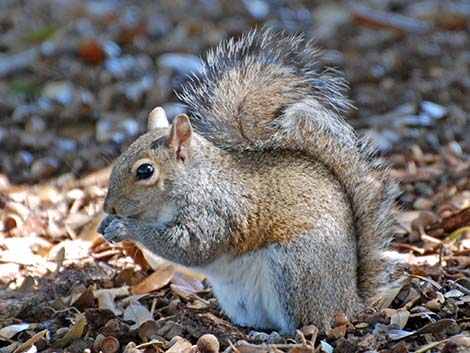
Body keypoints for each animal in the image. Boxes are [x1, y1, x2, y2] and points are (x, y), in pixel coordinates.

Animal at [98, 29, 396, 332]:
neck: (195, 181)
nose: (109, 207)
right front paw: (106, 224)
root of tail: (349, 301)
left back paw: (275, 336)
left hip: (297, 269)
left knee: (306, 324)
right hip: (241, 296)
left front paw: (126, 228)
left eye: (145, 171)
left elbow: (188, 247)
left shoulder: (216, 211)